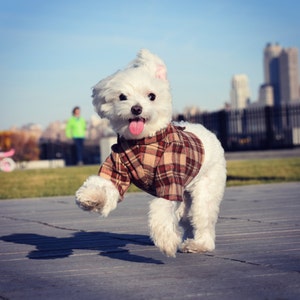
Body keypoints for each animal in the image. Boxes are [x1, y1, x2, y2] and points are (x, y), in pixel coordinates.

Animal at [75, 49, 225, 258]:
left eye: (152, 96)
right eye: (122, 96)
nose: (136, 108)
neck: (143, 143)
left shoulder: (170, 178)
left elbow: (161, 210)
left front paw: (166, 241)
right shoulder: (117, 167)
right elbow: (106, 184)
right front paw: (92, 197)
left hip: (206, 189)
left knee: (202, 218)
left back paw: (200, 244)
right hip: (186, 195)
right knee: (187, 220)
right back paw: (187, 240)